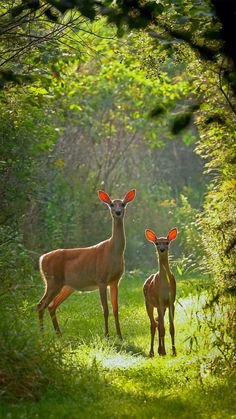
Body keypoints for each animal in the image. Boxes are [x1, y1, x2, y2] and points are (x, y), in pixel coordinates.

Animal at [37, 189, 136, 340]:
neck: (113, 252)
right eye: (112, 204)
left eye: (123, 204)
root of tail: (41, 259)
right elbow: (105, 310)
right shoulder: (101, 279)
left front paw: (120, 336)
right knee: (41, 305)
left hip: (66, 286)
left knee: (51, 306)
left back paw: (59, 335)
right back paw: (42, 335)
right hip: (53, 281)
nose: (118, 212)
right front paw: (106, 335)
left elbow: (115, 309)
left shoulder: (115, 281)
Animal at [143, 230, 178, 358]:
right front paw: (164, 351)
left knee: (157, 323)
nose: (162, 249)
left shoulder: (171, 302)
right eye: (157, 243)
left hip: (163, 307)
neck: (164, 286)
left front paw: (174, 351)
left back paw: (159, 350)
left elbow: (171, 328)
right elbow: (162, 328)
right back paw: (153, 352)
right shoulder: (159, 301)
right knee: (153, 325)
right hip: (148, 303)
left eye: (167, 242)